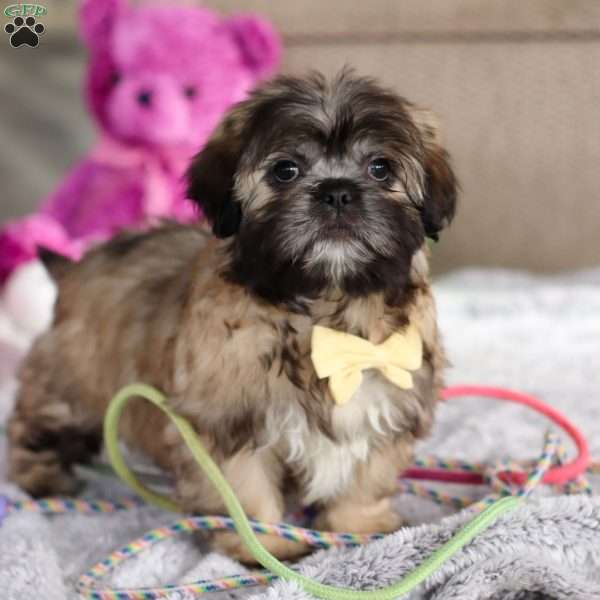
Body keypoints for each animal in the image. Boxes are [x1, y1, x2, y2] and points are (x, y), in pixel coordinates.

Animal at [7, 70, 458, 564]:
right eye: (285, 170)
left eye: (381, 168)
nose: (337, 192)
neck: (325, 311)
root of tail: (74, 269)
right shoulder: (227, 424)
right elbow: (246, 493)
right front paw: (264, 546)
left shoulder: (387, 403)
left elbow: (366, 478)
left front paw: (360, 527)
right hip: (71, 385)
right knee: (35, 425)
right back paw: (41, 477)